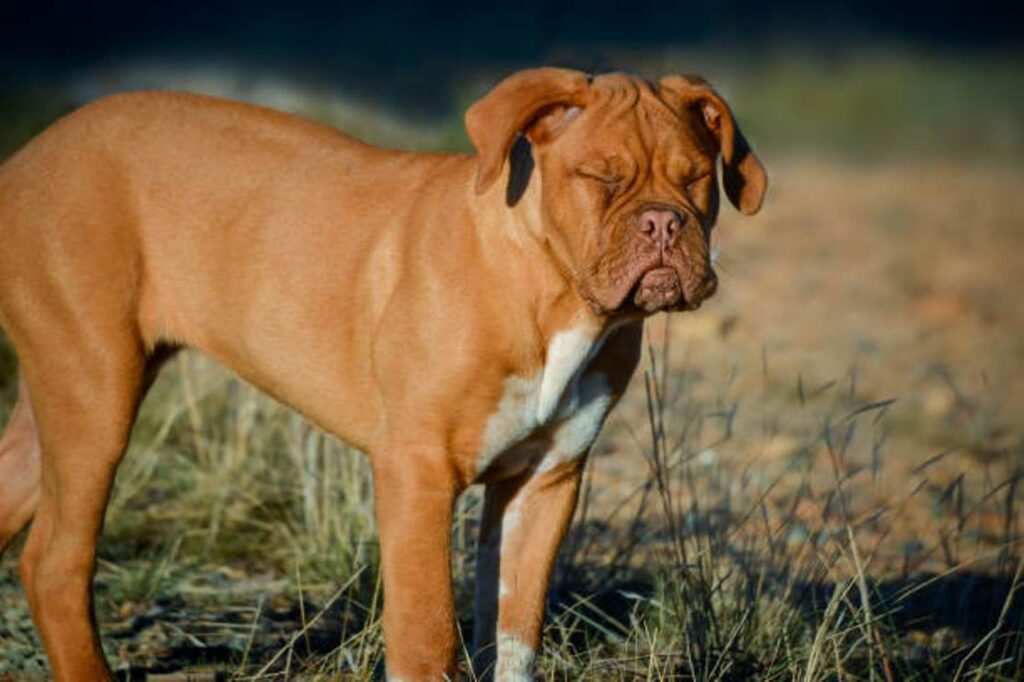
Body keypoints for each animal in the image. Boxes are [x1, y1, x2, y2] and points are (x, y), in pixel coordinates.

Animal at [0, 66, 770, 675]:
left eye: (695, 179)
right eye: (602, 179)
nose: (664, 223)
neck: (545, 290)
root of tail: (26, 157)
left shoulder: (545, 482)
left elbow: (514, 636)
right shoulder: (417, 470)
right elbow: (427, 635)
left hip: (60, 399)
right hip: (96, 394)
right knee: (57, 563)